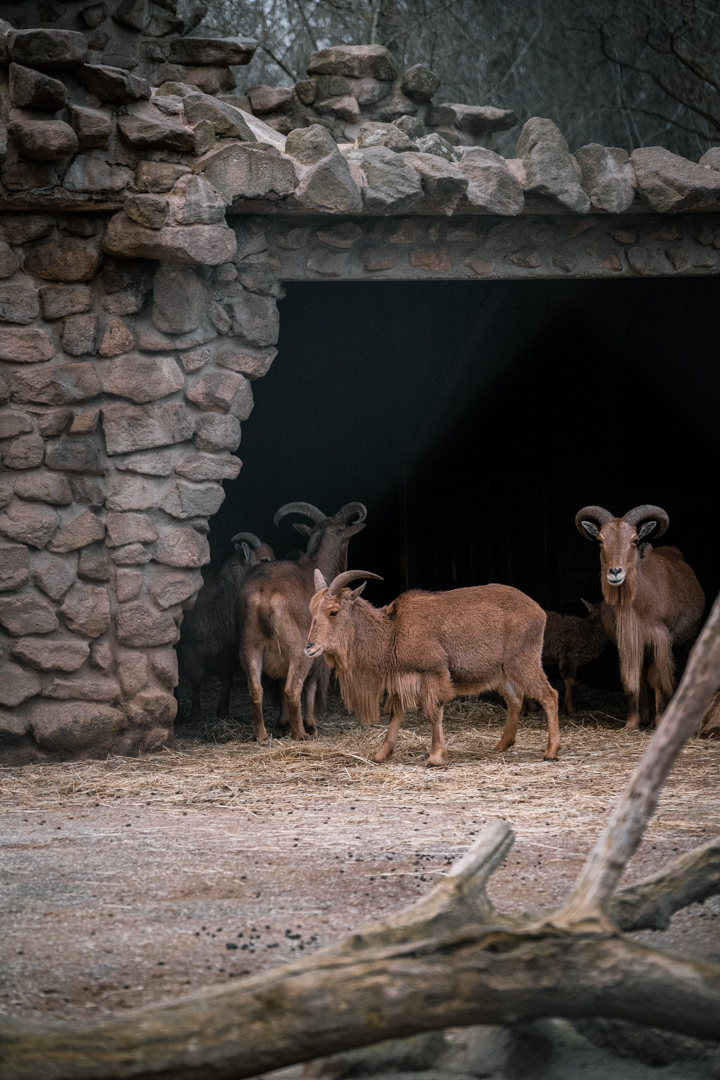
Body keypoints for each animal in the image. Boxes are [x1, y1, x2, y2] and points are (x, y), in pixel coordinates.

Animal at [177, 532, 274, 723]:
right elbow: (196, 681)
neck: (217, 603)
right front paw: (196, 714)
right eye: (264, 560)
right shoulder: (190, 649)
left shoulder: (227, 650)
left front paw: (222, 711)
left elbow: (227, 677)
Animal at [237, 501, 367, 742]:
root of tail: (265, 598)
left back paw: (262, 735)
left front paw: (282, 725)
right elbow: (311, 687)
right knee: (293, 688)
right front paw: (310, 725)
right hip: (299, 650)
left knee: (256, 689)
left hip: (249, 646)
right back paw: (300, 734)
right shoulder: (318, 652)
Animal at [306, 570, 561, 766]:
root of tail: (537, 609)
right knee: (515, 698)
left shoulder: (433, 673)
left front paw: (436, 757)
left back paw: (551, 751)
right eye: (311, 611)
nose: (309, 647)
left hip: (523, 661)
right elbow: (397, 713)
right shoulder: (403, 679)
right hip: (502, 672)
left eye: (333, 611)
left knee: (549, 695)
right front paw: (381, 754)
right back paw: (501, 745)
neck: (393, 631)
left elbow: (433, 711)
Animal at [576, 504, 704, 729]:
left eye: (635, 540)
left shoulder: (661, 640)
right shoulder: (628, 642)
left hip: (682, 643)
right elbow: (633, 680)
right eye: (600, 540)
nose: (615, 572)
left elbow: (659, 680)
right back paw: (644, 716)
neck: (637, 605)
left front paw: (659, 720)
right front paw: (632, 722)